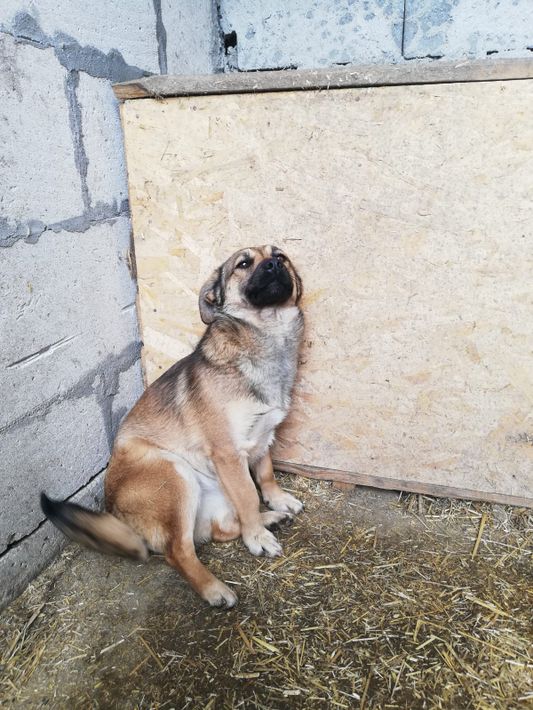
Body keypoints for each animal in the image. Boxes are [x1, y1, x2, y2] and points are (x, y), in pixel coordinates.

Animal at [41, 245, 304, 607]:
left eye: (281, 256)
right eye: (244, 263)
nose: (275, 264)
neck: (268, 334)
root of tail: (114, 512)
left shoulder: (263, 436)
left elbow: (264, 476)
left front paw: (276, 503)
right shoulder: (228, 453)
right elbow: (249, 496)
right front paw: (257, 538)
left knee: (220, 530)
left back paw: (270, 519)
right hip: (174, 474)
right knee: (179, 550)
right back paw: (214, 588)